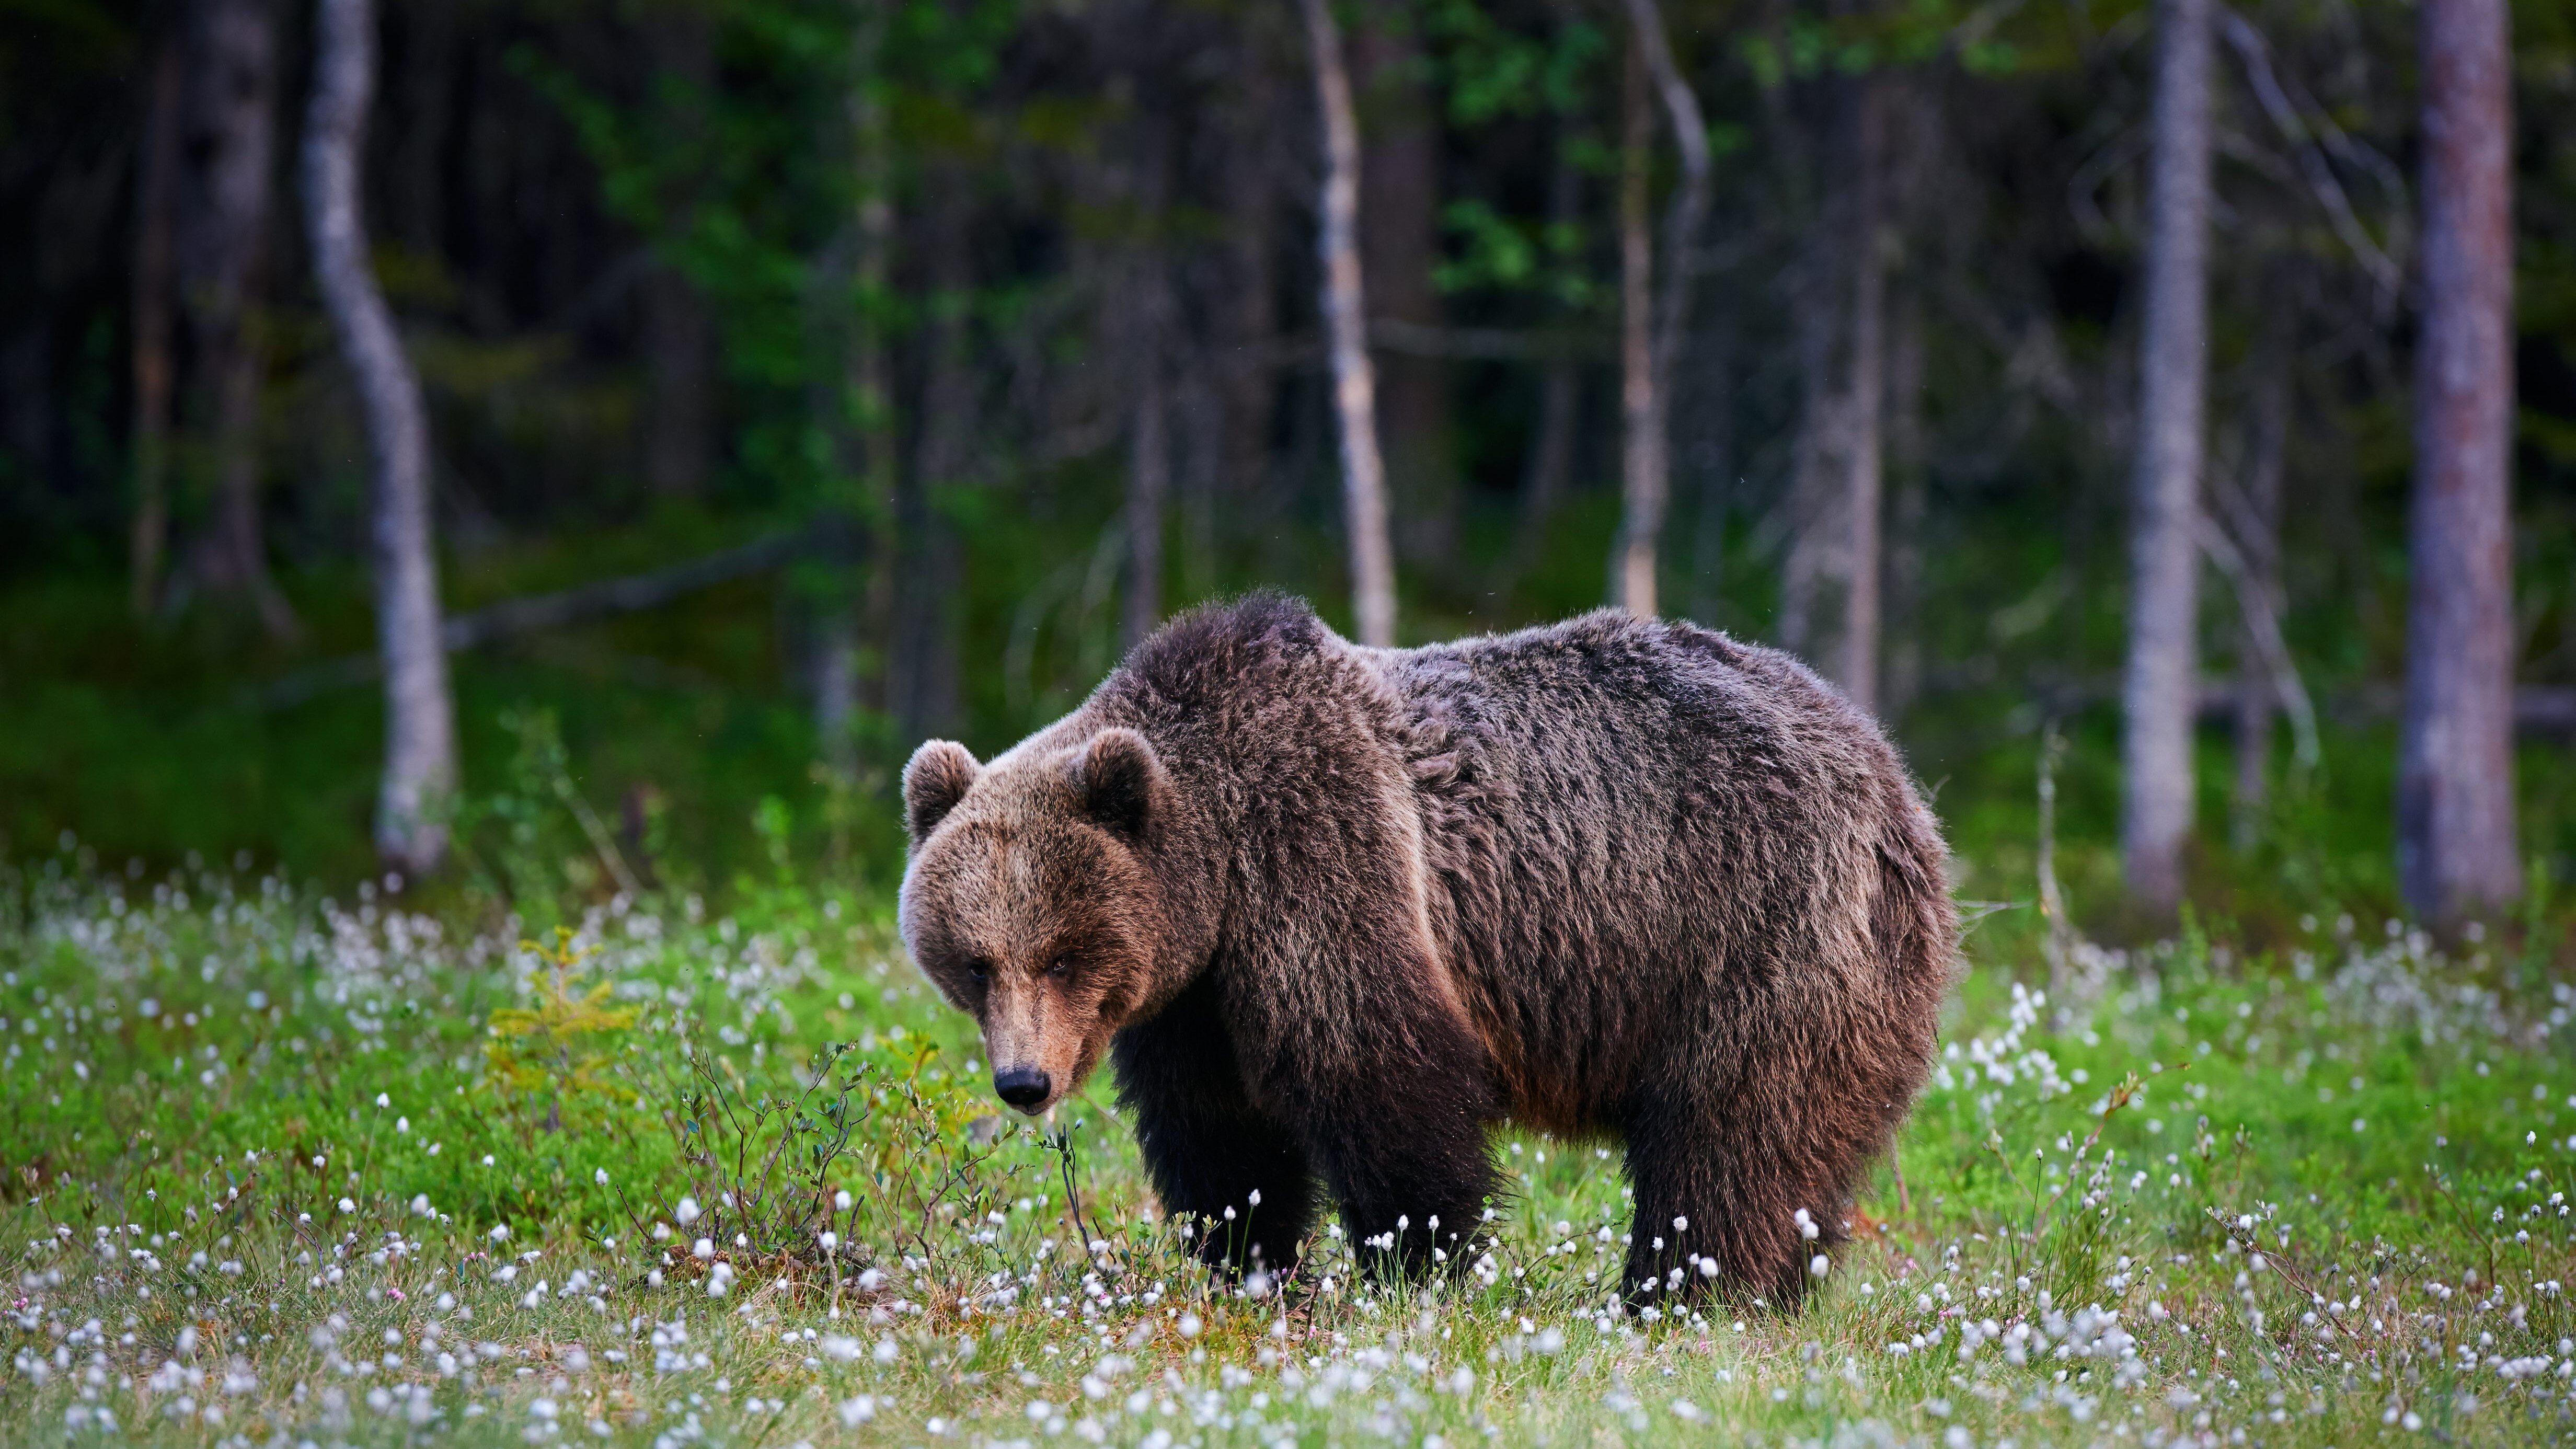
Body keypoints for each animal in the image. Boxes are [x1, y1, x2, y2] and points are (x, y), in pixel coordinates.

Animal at [896, 593, 1955, 1308]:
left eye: (1062, 954)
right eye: (976, 962)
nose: (1023, 1082)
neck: (1219, 871)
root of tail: (1891, 773)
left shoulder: (1324, 856)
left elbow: (1378, 1078)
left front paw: (1416, 1265)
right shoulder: (1192, 998)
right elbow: (1221, 1136)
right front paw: (1248, 1266)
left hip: (1757, 928)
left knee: (1727, 1140)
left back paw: (1679, 1294)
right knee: (1802, 1156)